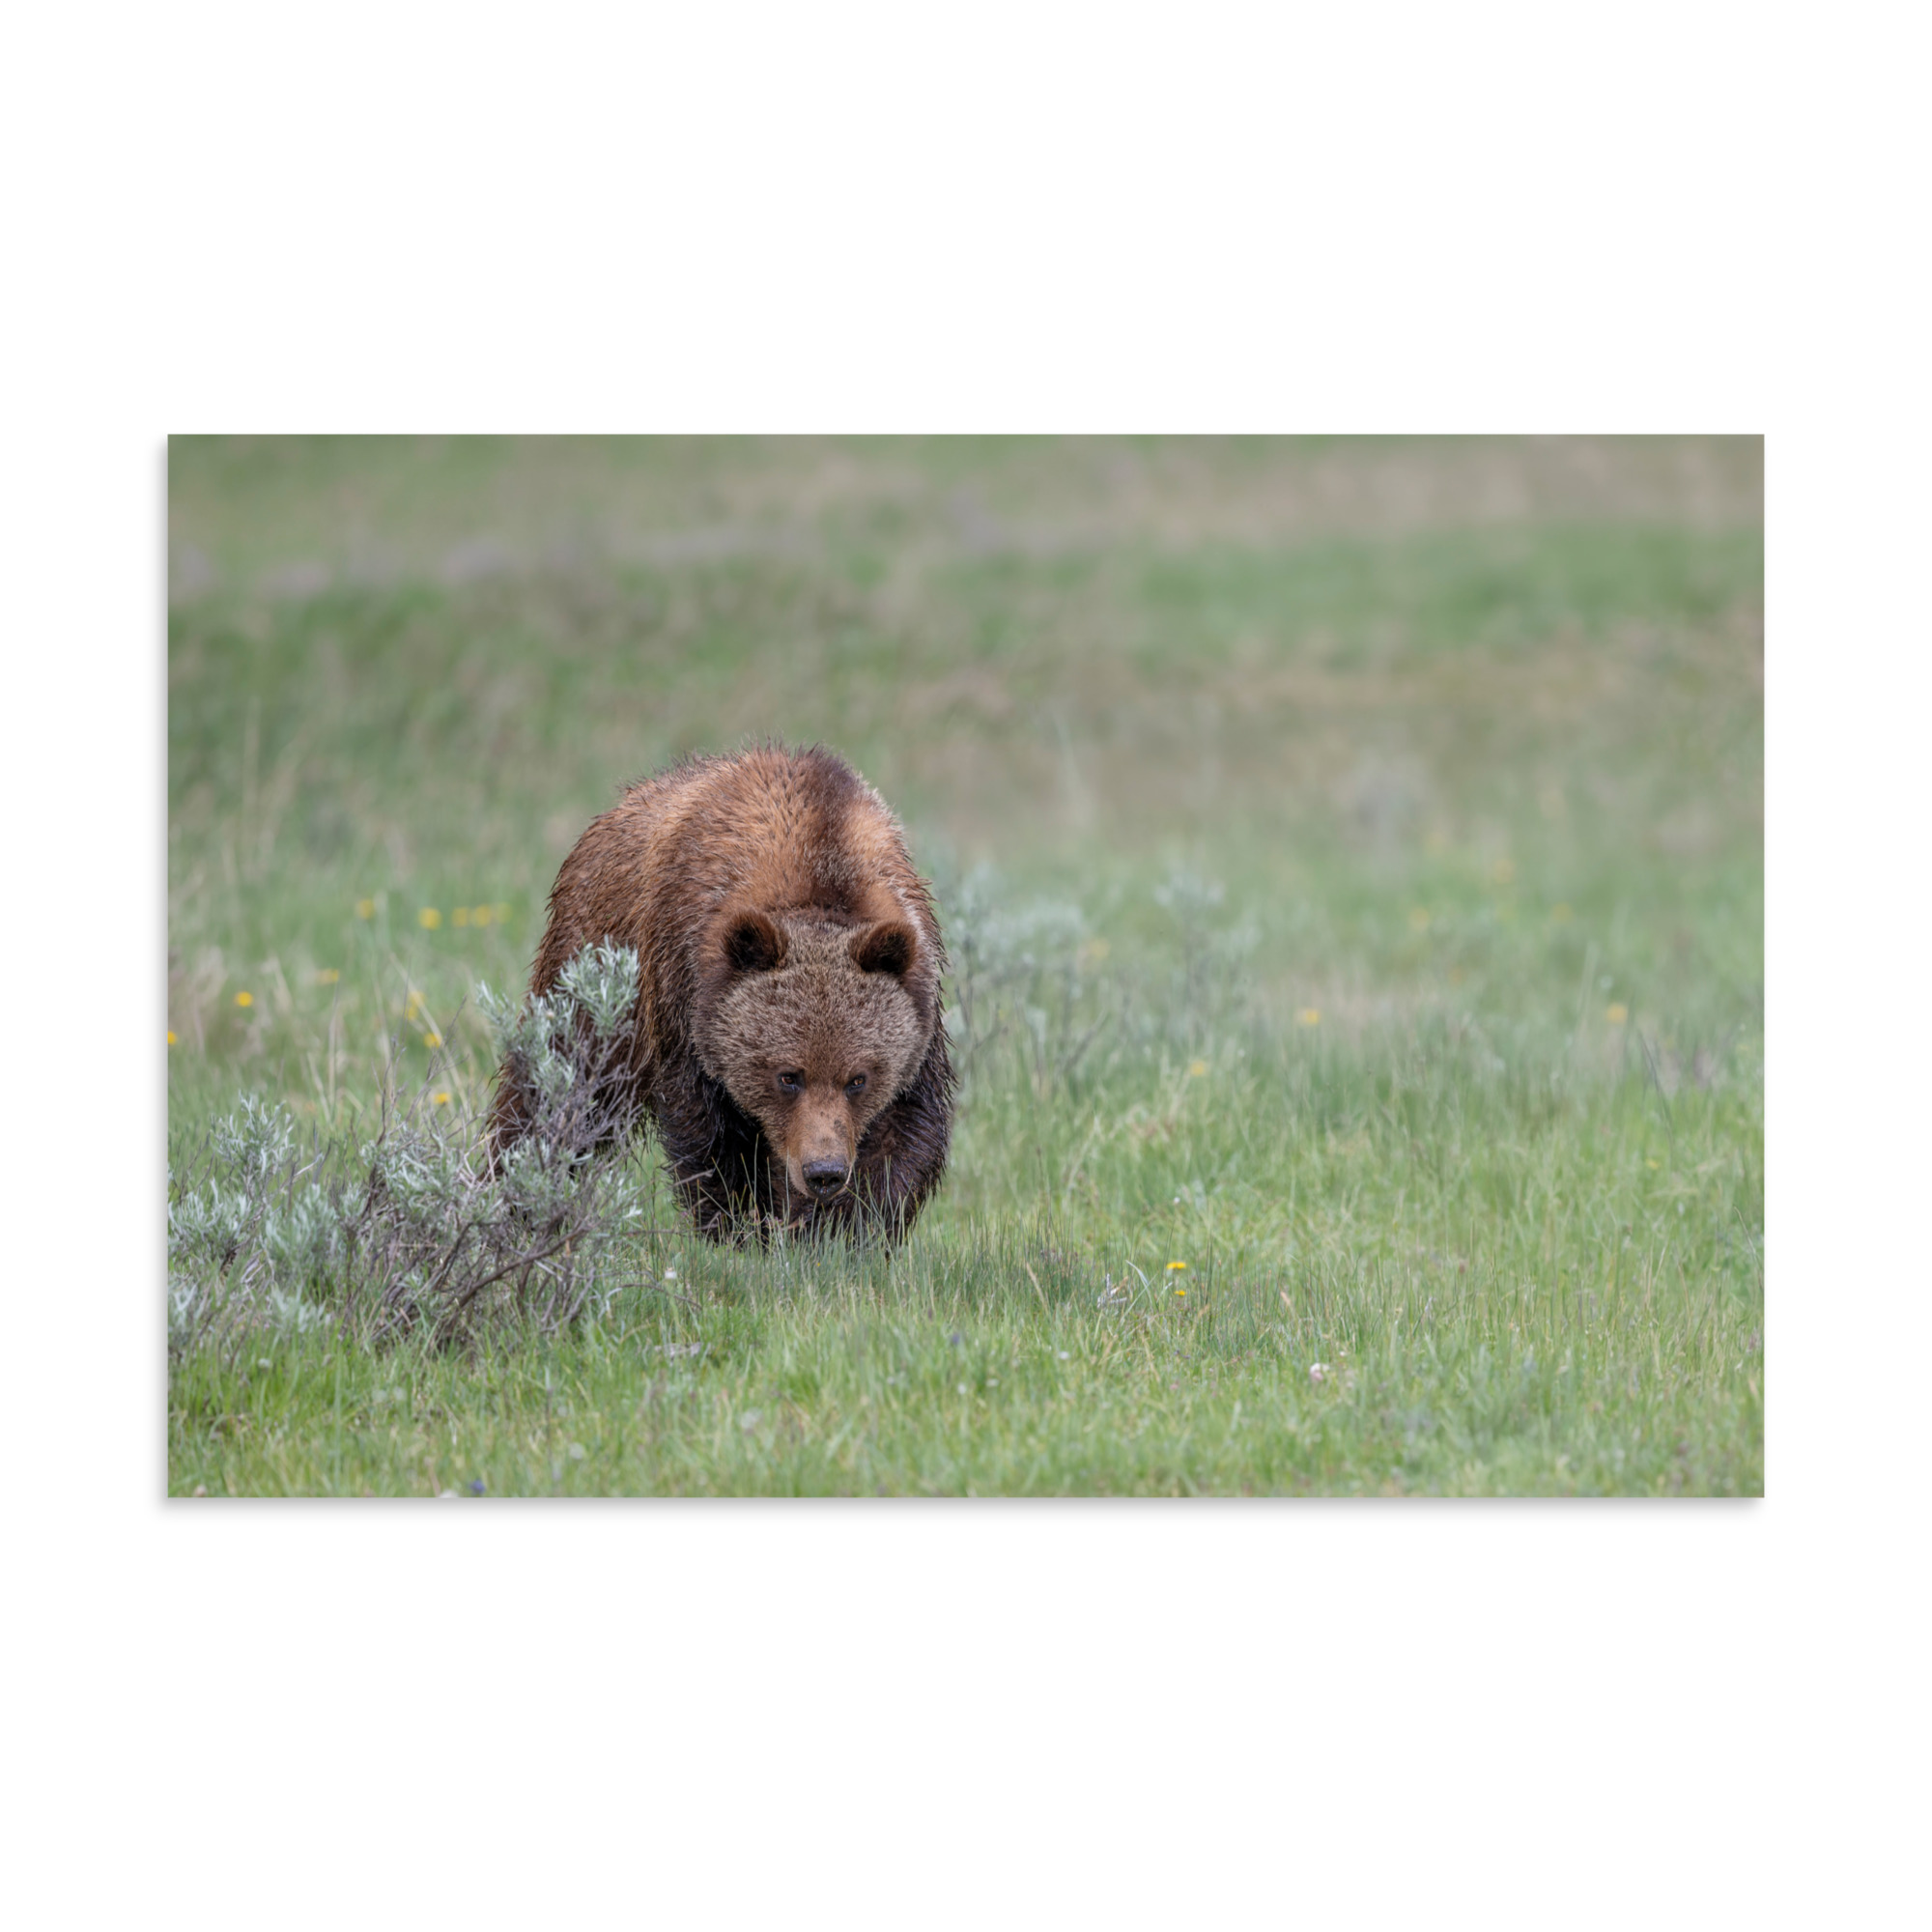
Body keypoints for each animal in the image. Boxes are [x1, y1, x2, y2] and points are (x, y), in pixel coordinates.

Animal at [487, 744, 954, 1244]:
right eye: (787, 1076)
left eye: (858, 1079)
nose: (823, 1172)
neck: (821, 865)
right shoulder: (685, 994)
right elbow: (712, 1138)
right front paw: (740, 1228)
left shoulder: (918, 1008)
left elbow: (903, 1135)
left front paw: (840, 1231)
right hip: (594, 970)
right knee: (558, 1086)